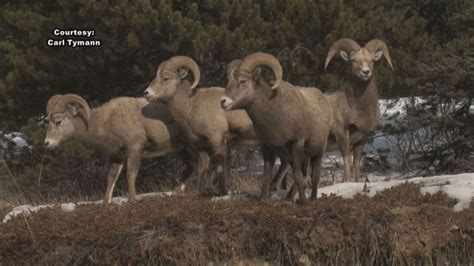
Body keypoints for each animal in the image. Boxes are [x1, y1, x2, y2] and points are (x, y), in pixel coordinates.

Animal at [44, 94, 198, 203]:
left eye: (58, 121)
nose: (47, 143)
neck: (106, 122)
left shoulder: (134, 150)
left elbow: (131, 174)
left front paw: (132, 200)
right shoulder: (117, 158)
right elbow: (111, 178)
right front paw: (106, 203)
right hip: (183, 150)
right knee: (192, 166)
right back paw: (176, 192)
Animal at [143, 55, 288, 194]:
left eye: (166, 78)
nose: (146, 93)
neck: (192, 105)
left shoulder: (217, 140)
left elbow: (219, 166)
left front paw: (222, 192)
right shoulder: (204, 146)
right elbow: (203, 168)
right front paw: (200, 192)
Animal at [221, 53, 334, 205]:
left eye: (243, 81)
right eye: (229, 81)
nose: (223, 101)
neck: (276, 115)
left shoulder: (297, 143)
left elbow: (297, 175)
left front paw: (303, 202)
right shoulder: (268, 147)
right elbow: (266, 175)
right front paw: (263, 199)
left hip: (319, 152)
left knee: (314, 176)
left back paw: (313, 198)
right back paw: (289, 197)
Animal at [324, 38, 394, 182]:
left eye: (372, 60)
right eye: (354, 60)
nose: (366, 72)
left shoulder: (360, 141)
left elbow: (356, 163)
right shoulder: (342, 134)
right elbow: (346, 162)